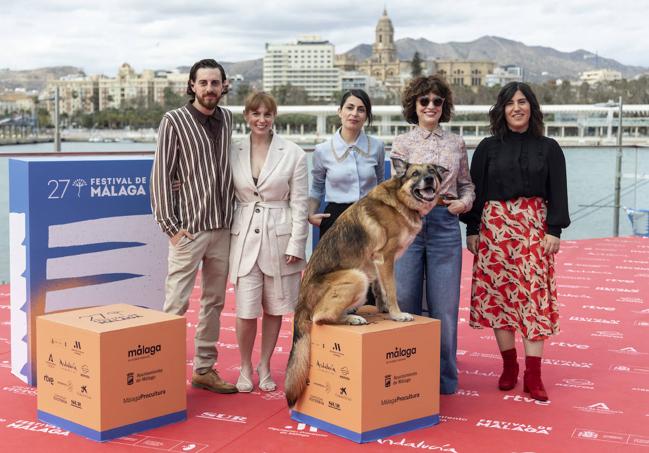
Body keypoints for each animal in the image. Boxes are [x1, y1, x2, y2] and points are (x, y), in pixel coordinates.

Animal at [286, 161, 448, 408]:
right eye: (415, 174)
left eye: (432, 171)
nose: (429, 179)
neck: (399, 199)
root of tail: (300, 304)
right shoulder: (386, 258)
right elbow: (392, 290)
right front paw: (398, 315)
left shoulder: (378, 264)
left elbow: (382, 290)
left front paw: (384, 310)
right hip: (357, 277)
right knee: (320, 317)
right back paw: (352, 319)